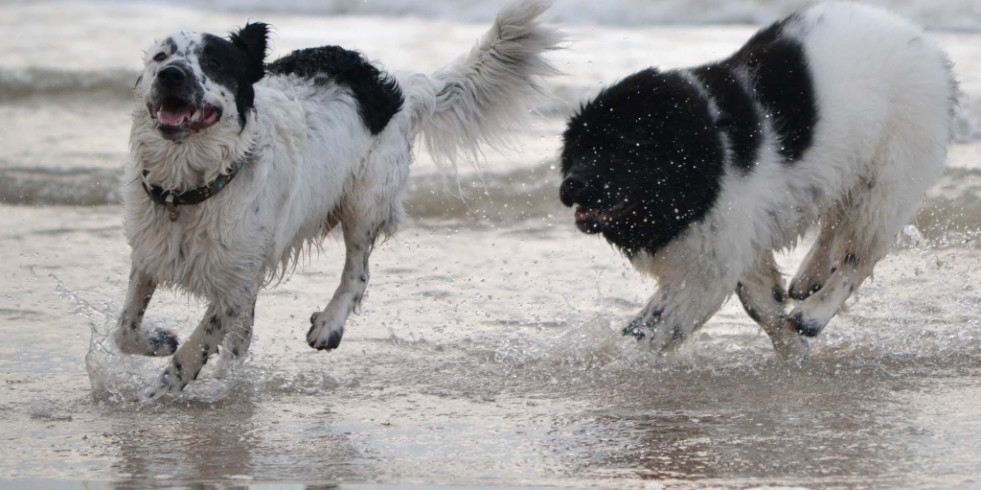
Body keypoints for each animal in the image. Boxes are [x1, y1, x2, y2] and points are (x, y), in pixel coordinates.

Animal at [113, 0, 560, 398]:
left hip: (365, 202)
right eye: (160, 56)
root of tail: (393, 87)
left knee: (358, 272)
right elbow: (125, 328)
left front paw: (159, 391)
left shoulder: (235, 284)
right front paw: (158, 342)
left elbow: (196, 345)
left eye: (214, 63)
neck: (189, 186)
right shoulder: (153, 253)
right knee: (244, 335)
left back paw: (328, 324)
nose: (171, 74)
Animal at [560, 1, 956, 358]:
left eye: (619, 150)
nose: (568, 187)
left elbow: (676, 321)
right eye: (577, 150)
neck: (705, 149)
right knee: (835, 224)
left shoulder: (719, 252)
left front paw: (631, 360)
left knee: (859, 256)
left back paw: (813, 314)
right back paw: (809, 277)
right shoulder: (734, 240)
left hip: (889, 178)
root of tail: (930, 49)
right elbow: (759, 302)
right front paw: (790, 349)